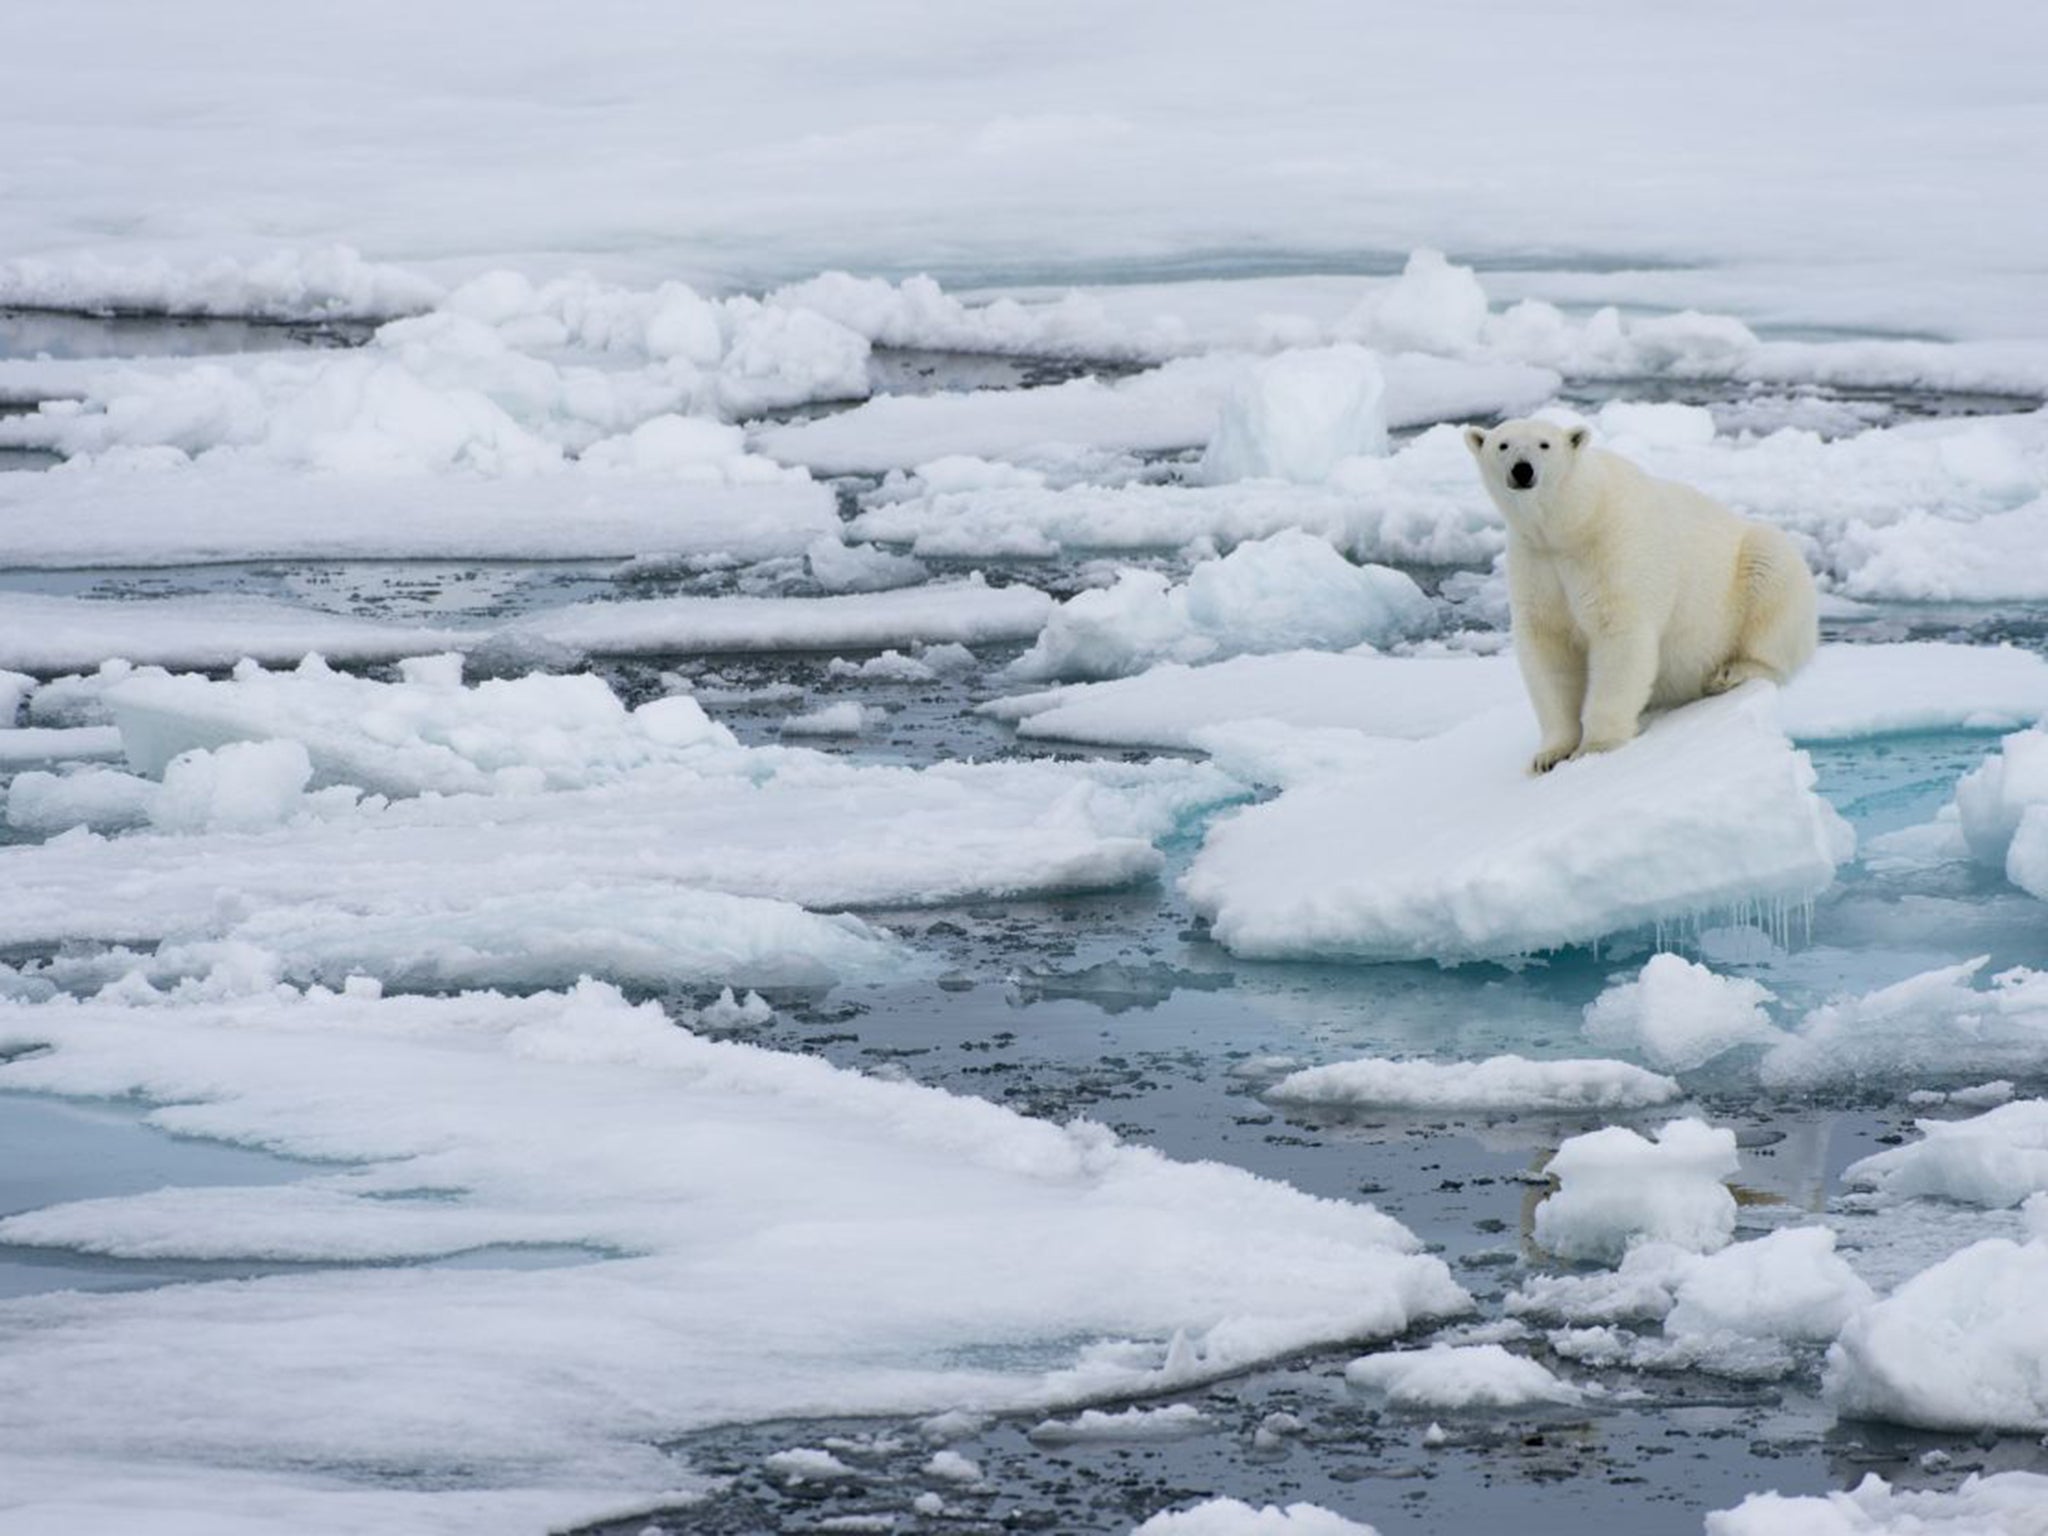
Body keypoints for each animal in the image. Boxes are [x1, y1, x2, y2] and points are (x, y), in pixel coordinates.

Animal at [1466, 421, 1818, 774]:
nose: (1522, 469)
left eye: (1544, 444)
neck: (1571, 521)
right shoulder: (1537, 562)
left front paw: (1596, 746)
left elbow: (1618, 636)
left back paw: (1729, 673)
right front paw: (1549, 755)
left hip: (1751, 571)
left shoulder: (1610, 549)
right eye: (1503, 445)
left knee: (1771, 585)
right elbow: (1549, 648)